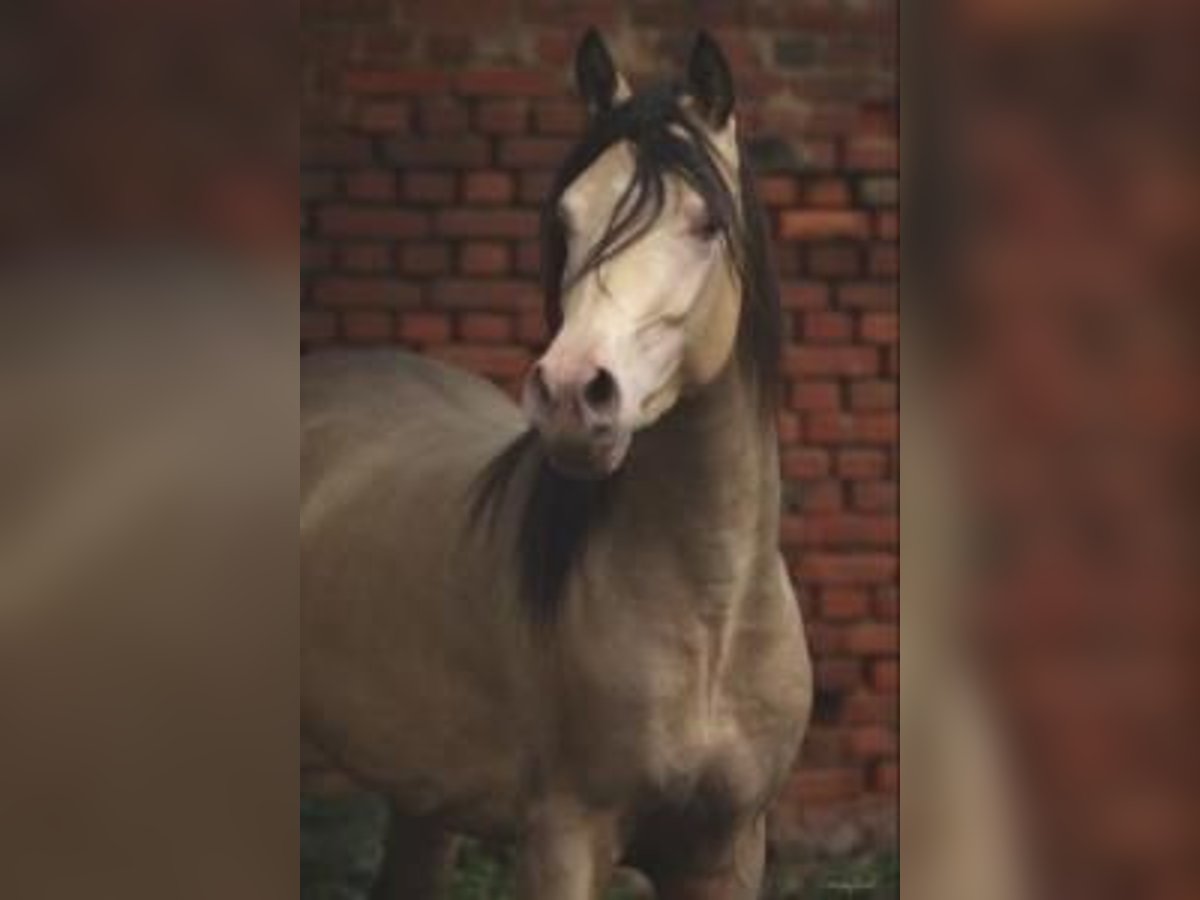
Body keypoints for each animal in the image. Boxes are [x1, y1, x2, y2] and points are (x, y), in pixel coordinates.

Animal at [302, 30, 816, 900]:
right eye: (568, 219)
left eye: (706, 222)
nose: (574, 392)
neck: (712, 616)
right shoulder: (565, 837)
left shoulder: (728, 848)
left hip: (421, 800)